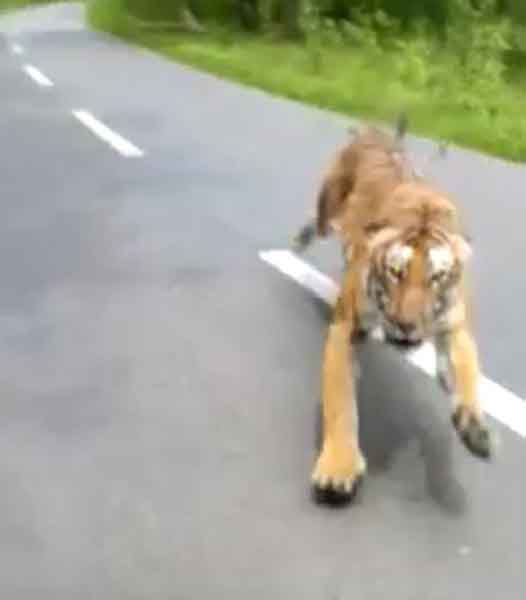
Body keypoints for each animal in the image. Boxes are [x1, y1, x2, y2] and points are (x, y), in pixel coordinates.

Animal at [296, 112, 496, 502]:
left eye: (437, 277)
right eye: (395, 272)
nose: (405, 325)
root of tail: (378, 133)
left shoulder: (454, 325)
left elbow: (466, 373)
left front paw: (474, 428)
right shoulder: (348, 326)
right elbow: (340, 400)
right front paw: (338, 470)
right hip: (329, 205)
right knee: (320, 221)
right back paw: (299, 241)